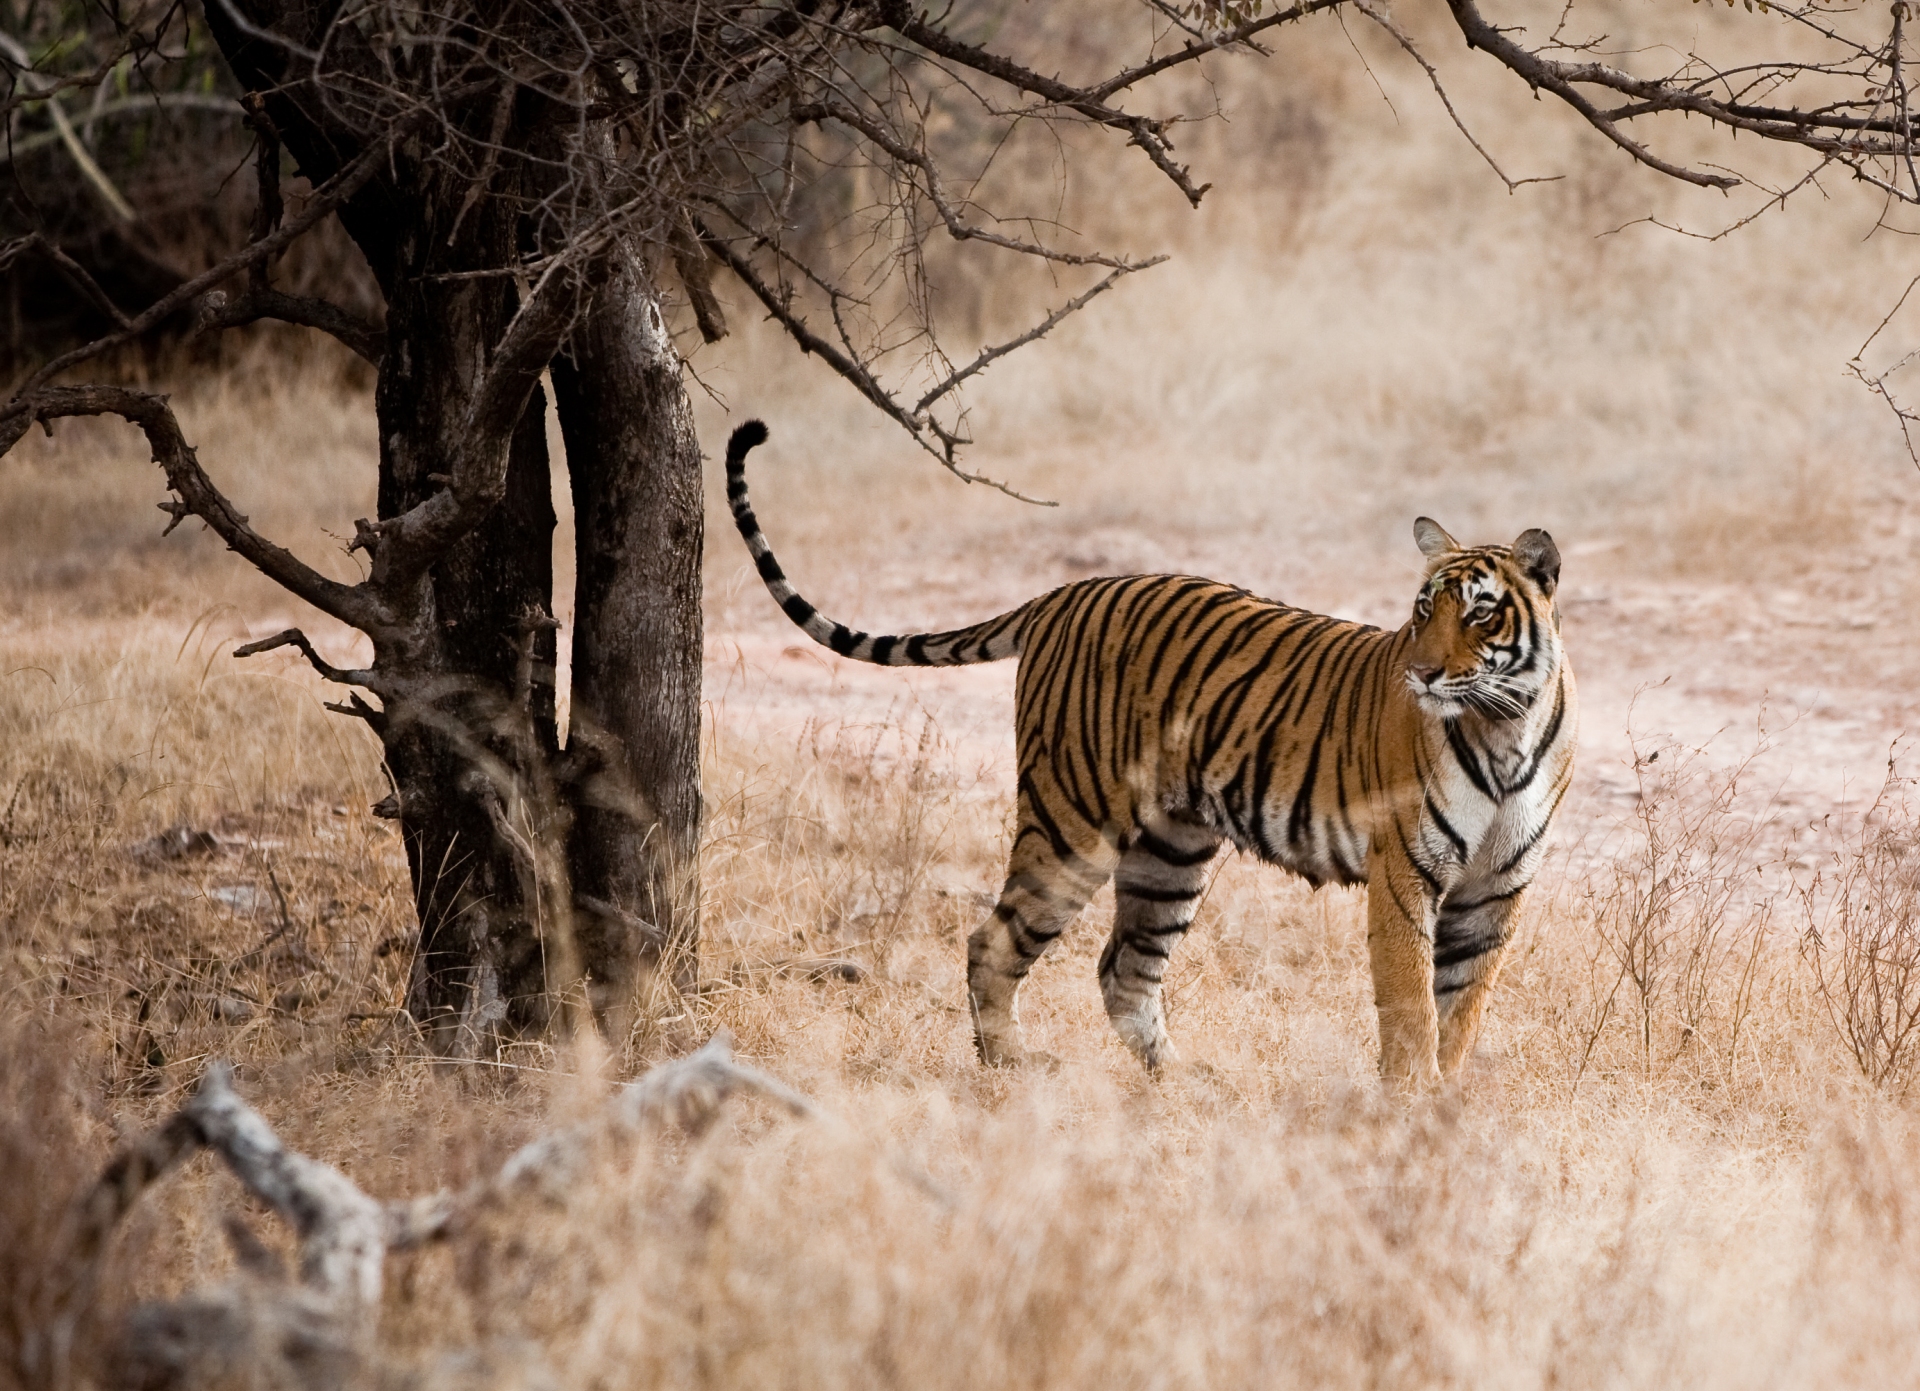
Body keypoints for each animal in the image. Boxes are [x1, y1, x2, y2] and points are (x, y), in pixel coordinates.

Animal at [725, 420, 1577, 1087]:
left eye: (1480, 614)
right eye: (1424, 608)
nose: (1423, 672)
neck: (1504, 726)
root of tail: (1063, 593)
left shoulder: (1495, 889)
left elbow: (1462, 1009)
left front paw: (1446, 1102)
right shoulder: (1404, 872)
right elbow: (1411, 1005)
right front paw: (1410, 1103)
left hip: (1170, 848)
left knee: (1124, 967)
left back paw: (1183, 1078)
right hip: (1071, 822)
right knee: (993, 940)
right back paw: (1008, 1068)